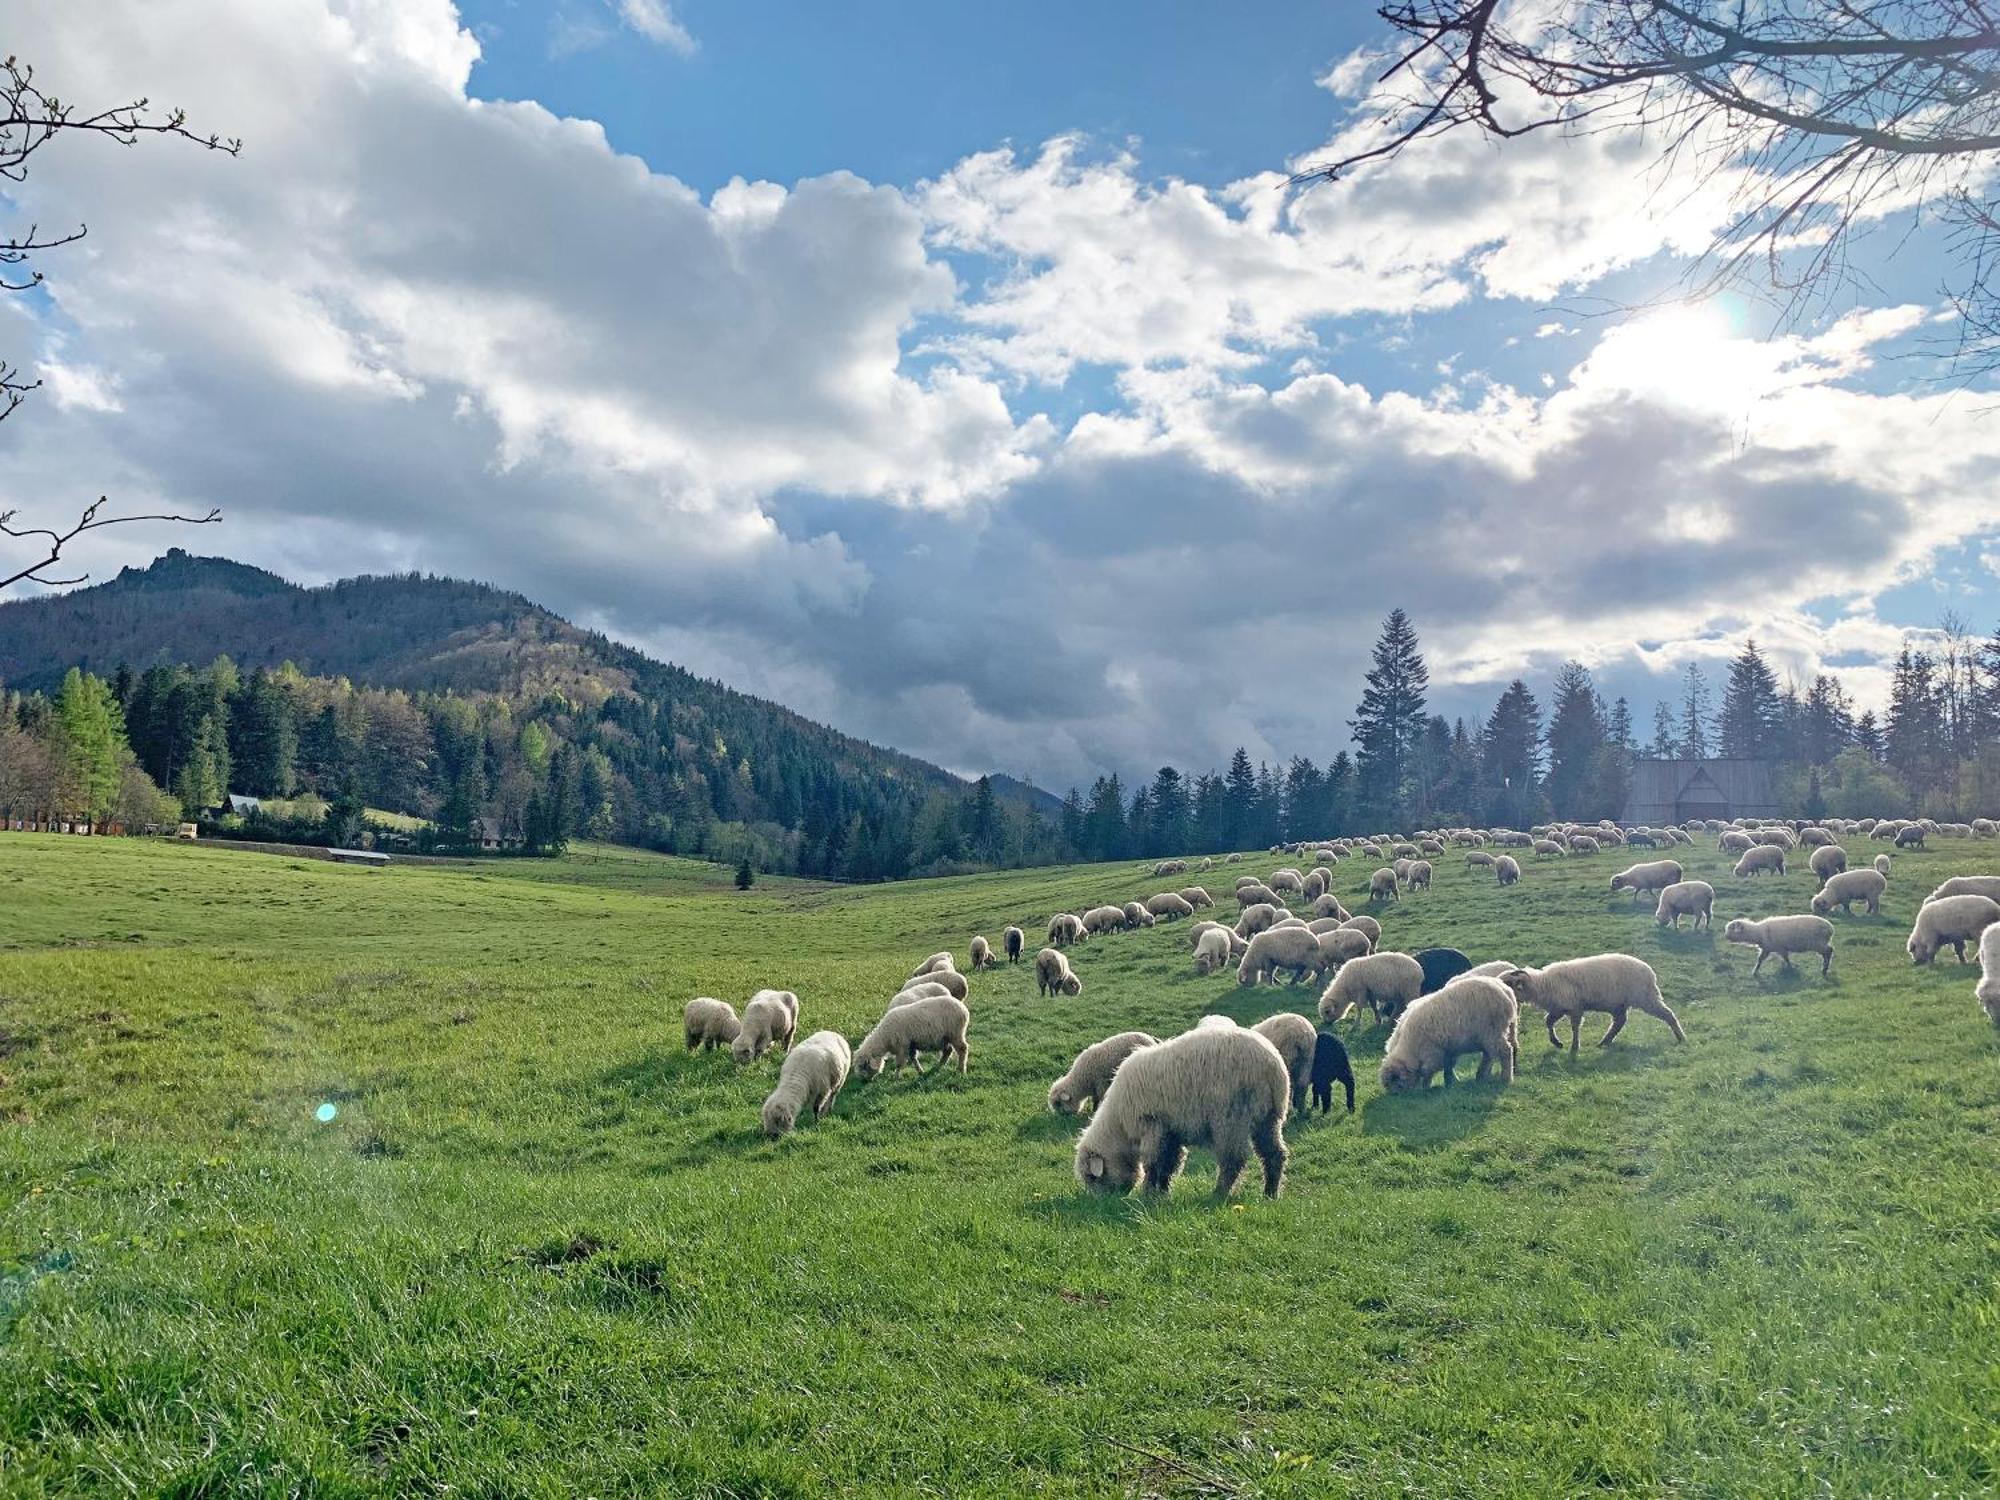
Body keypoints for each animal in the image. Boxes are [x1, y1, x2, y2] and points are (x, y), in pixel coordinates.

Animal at [1072, 1032, 1288, 1208]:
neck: (1119, 1126)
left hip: (1231, 1117)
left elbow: (1153, 1162)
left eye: (1092, 1177)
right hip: (1268, 1118)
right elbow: (1169, 1163)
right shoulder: (1171, 1131)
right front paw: (1163, 1192)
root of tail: (1273, 1066)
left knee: (1233, 1159)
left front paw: (1147, 1193)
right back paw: (1270, 1194)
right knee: (1274, 1154)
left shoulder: (1151, 1125)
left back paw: (1218, 1194)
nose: (1106, 1202)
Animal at [1376, 976, 1512, 1096]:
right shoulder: (1448, 1049)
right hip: (1488, 1036)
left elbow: (1427, 1071)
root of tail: (1505, 990)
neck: (1409, 1044)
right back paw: (1480, 1076)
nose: (1396, 1096)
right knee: (1488, 1055)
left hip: (1492, 1032)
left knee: (1505, 1051)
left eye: (1397, 1082)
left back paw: (1506, 1078)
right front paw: (1450, 1083)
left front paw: (1425, 1087)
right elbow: (1448, 1067)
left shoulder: (1433, 1053)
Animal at [1504, 964, 1688, 1056]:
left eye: (1509, 984)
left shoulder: (1575, 1007)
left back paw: (1681, 1037)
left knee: (1668, 1014)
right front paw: (1557, 1042)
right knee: (1619, 1022)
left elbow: (1575, 1028)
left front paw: (1574, 1047)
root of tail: (1650, 972)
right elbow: (1548, 1022)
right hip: (1619, 1005)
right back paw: (1604, 1042)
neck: (1543, 983)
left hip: (1646, 997)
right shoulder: (1559, 1008)